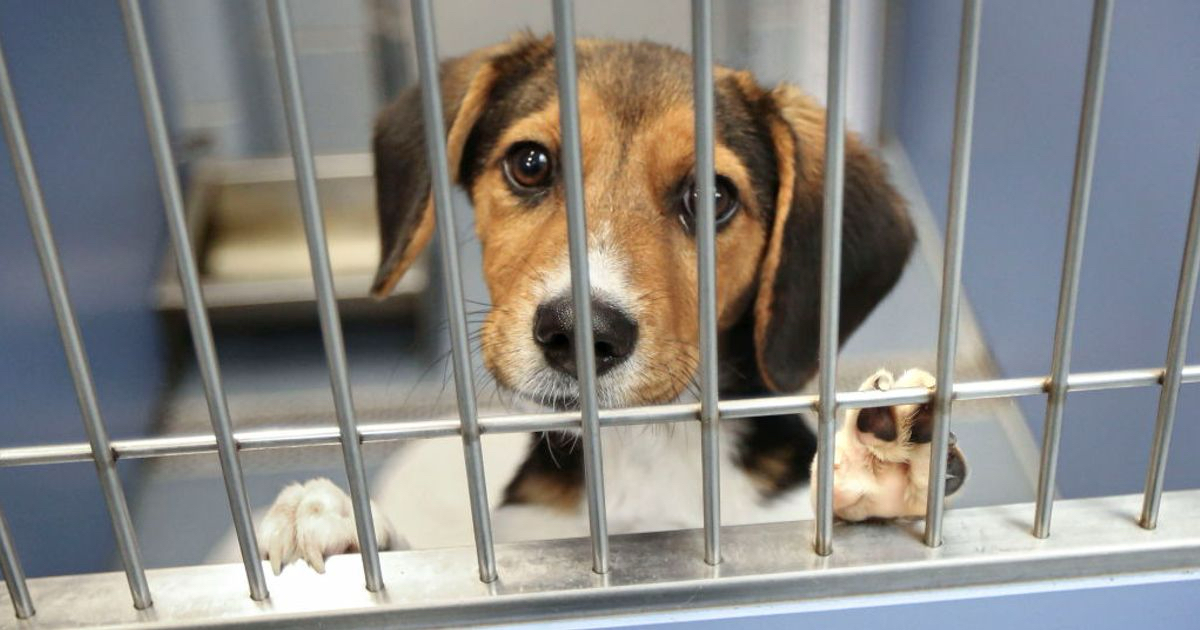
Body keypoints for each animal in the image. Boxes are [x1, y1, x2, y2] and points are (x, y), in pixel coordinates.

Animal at [251, 35, 968, 573]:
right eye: (530, 163)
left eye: (713, 196)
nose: (579, 333)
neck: (642, 451)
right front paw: (341, 523)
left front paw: (880, 463)